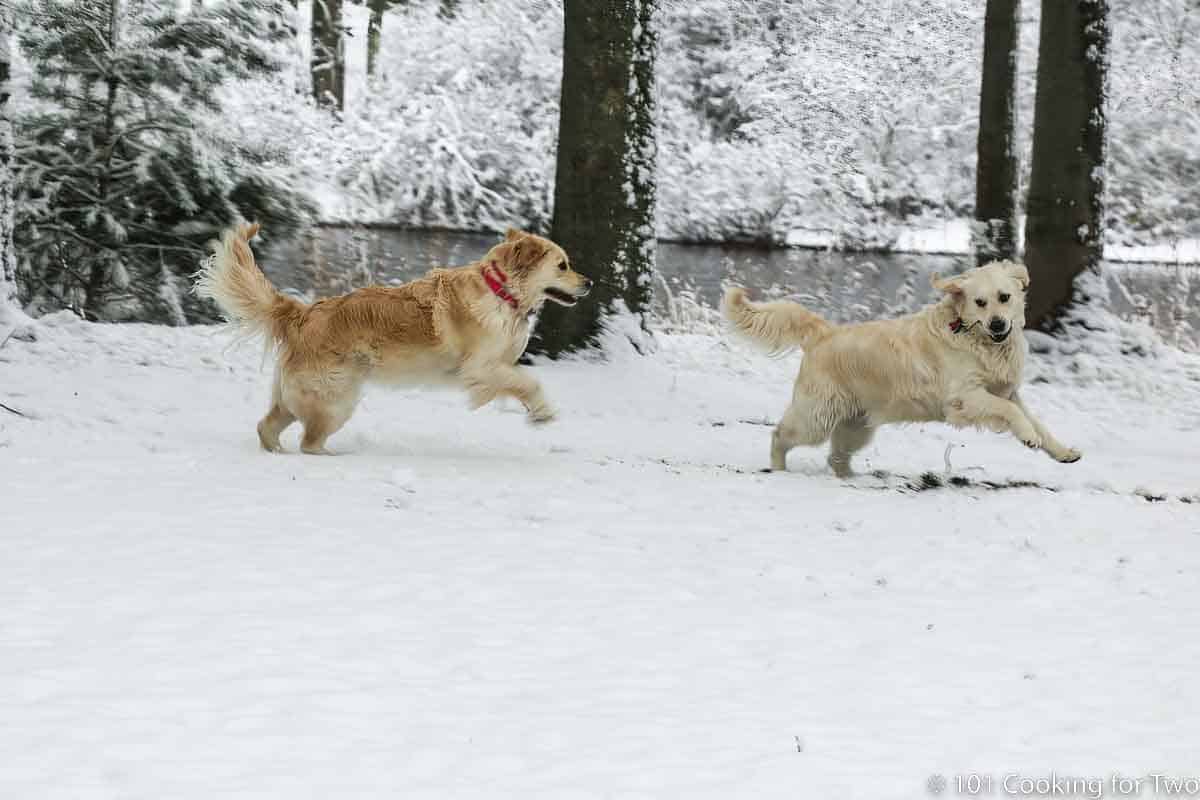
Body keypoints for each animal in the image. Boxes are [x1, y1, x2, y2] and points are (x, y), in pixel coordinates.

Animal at [194, 225, 592, 453]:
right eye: (563, 265)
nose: (589, 283)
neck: (501, 291)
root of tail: (303, 313)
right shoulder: (479, 367)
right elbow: (528, 381)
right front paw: (542, 412)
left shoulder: (495, 366)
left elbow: (518, 381)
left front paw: (532, 411)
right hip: (335, 400)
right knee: (309, 442)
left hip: (299, 397)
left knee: (267, 426)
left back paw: (276, 452)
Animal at [715, 261, 1084, 474]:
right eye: (980, 302)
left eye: (1005, 297)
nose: (997, 324)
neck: (975, 337)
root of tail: (824, 332)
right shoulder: (965, 398)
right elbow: (1011, 413)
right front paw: (1027, 437)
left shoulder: (1008, 391)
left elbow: (1037, 421)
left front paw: (1062, 452)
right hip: (816, 417)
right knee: (780, 435)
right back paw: (778, 470)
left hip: (856, 425)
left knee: (836, 458)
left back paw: (851, 480)